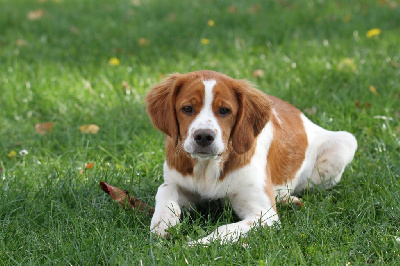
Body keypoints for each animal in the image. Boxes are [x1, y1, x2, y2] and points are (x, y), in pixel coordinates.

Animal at [145, 69, 358, 244]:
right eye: (187, 108)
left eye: (224, 110)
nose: (204, 136)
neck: (207, 167)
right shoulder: (179, 182)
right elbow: (165, 188)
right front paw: (163, 222)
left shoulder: (264, 215)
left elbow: (223, 230)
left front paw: (196, 244)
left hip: (344, 144)